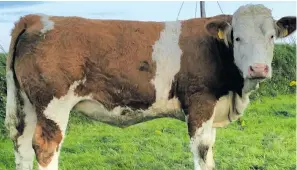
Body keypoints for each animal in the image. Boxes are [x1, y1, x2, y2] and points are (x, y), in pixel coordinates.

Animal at [4, 3, 294, 170]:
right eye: (237, 37)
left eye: (271, 36)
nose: (258, 68)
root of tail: (36, 18)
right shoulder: (199, 103)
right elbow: (202, 150)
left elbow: (210, 149)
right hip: (53, 104)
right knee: (46, 147)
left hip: (27, 103)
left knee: (22, 144)